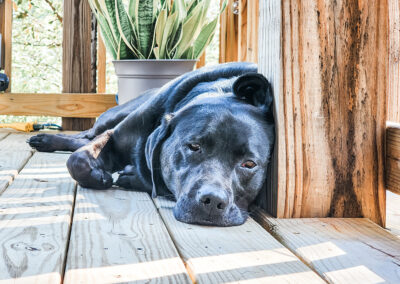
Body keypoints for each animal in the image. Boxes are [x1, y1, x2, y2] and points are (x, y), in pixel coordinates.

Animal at [27, 62, 276, 226]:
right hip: (112, 116)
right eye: (194, 147)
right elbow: (77, 159)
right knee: (86, 136)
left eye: (249, 164)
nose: (213, 200)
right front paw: (100, 176)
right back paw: (45, 139)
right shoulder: (115, 137)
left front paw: (131, 175)